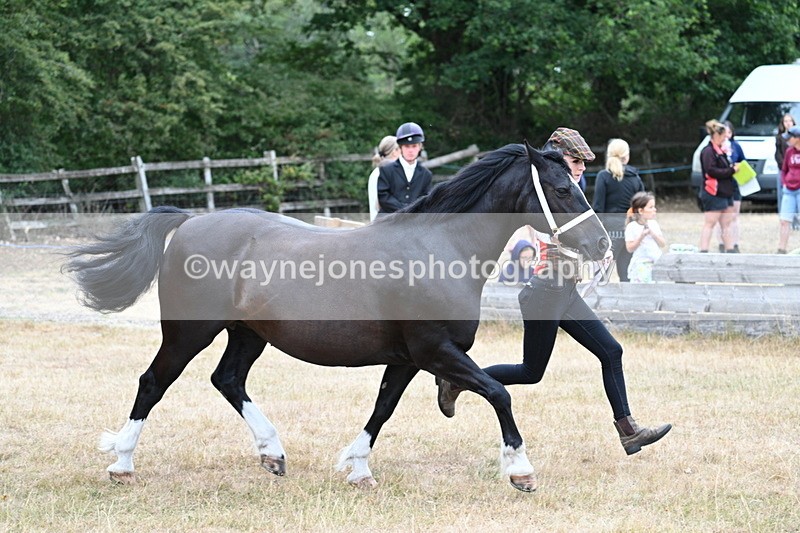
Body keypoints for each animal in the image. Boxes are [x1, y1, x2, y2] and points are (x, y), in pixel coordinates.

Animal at [64, 141, 609, 491]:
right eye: (563, 189)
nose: (602, 243)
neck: (438, 249)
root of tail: (193, 221)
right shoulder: (436, 351)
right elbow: (499, 393)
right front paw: (520, 470)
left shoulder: (408, 358)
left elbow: (383, 408)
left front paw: (358, 468)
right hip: (187, 333)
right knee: (153, 382)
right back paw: (122, 463)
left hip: (247, 334)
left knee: (228, 380)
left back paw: (273, 453)